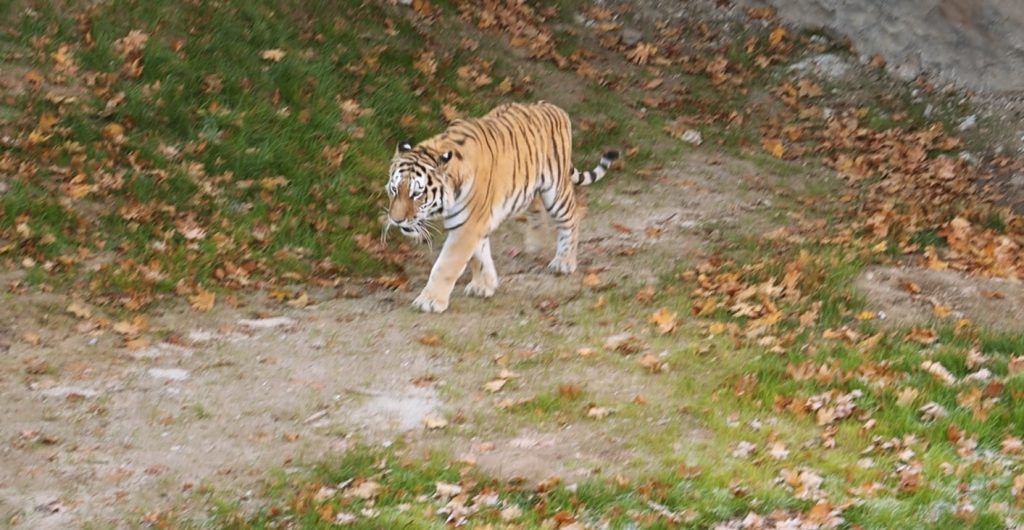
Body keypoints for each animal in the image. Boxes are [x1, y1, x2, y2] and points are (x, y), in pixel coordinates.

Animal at [385, 101, 618, 313]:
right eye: (394, 190)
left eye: (417, 194)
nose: (396, 220)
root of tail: (552, 107)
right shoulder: (472, 223)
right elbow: (479, 255)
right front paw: (484, 284)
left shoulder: (467, 226)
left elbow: (446, 265)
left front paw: (430, 301)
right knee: (535, 206)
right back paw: (534, 243)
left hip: (556, 191)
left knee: (572, 218)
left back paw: (564, 262)